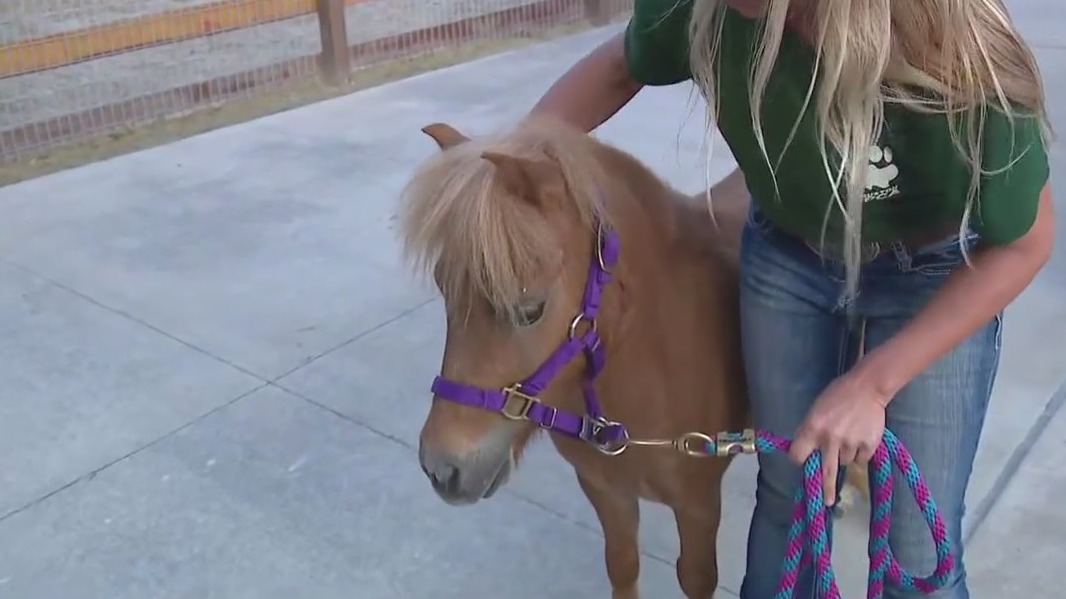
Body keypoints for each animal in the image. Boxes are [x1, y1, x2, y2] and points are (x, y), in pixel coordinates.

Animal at [398, 114, 751, 599]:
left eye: (530, 309)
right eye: (444, 289)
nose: (442, 469)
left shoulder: (698, 506)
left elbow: (696, 577)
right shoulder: (606, 491)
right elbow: (622, 565)